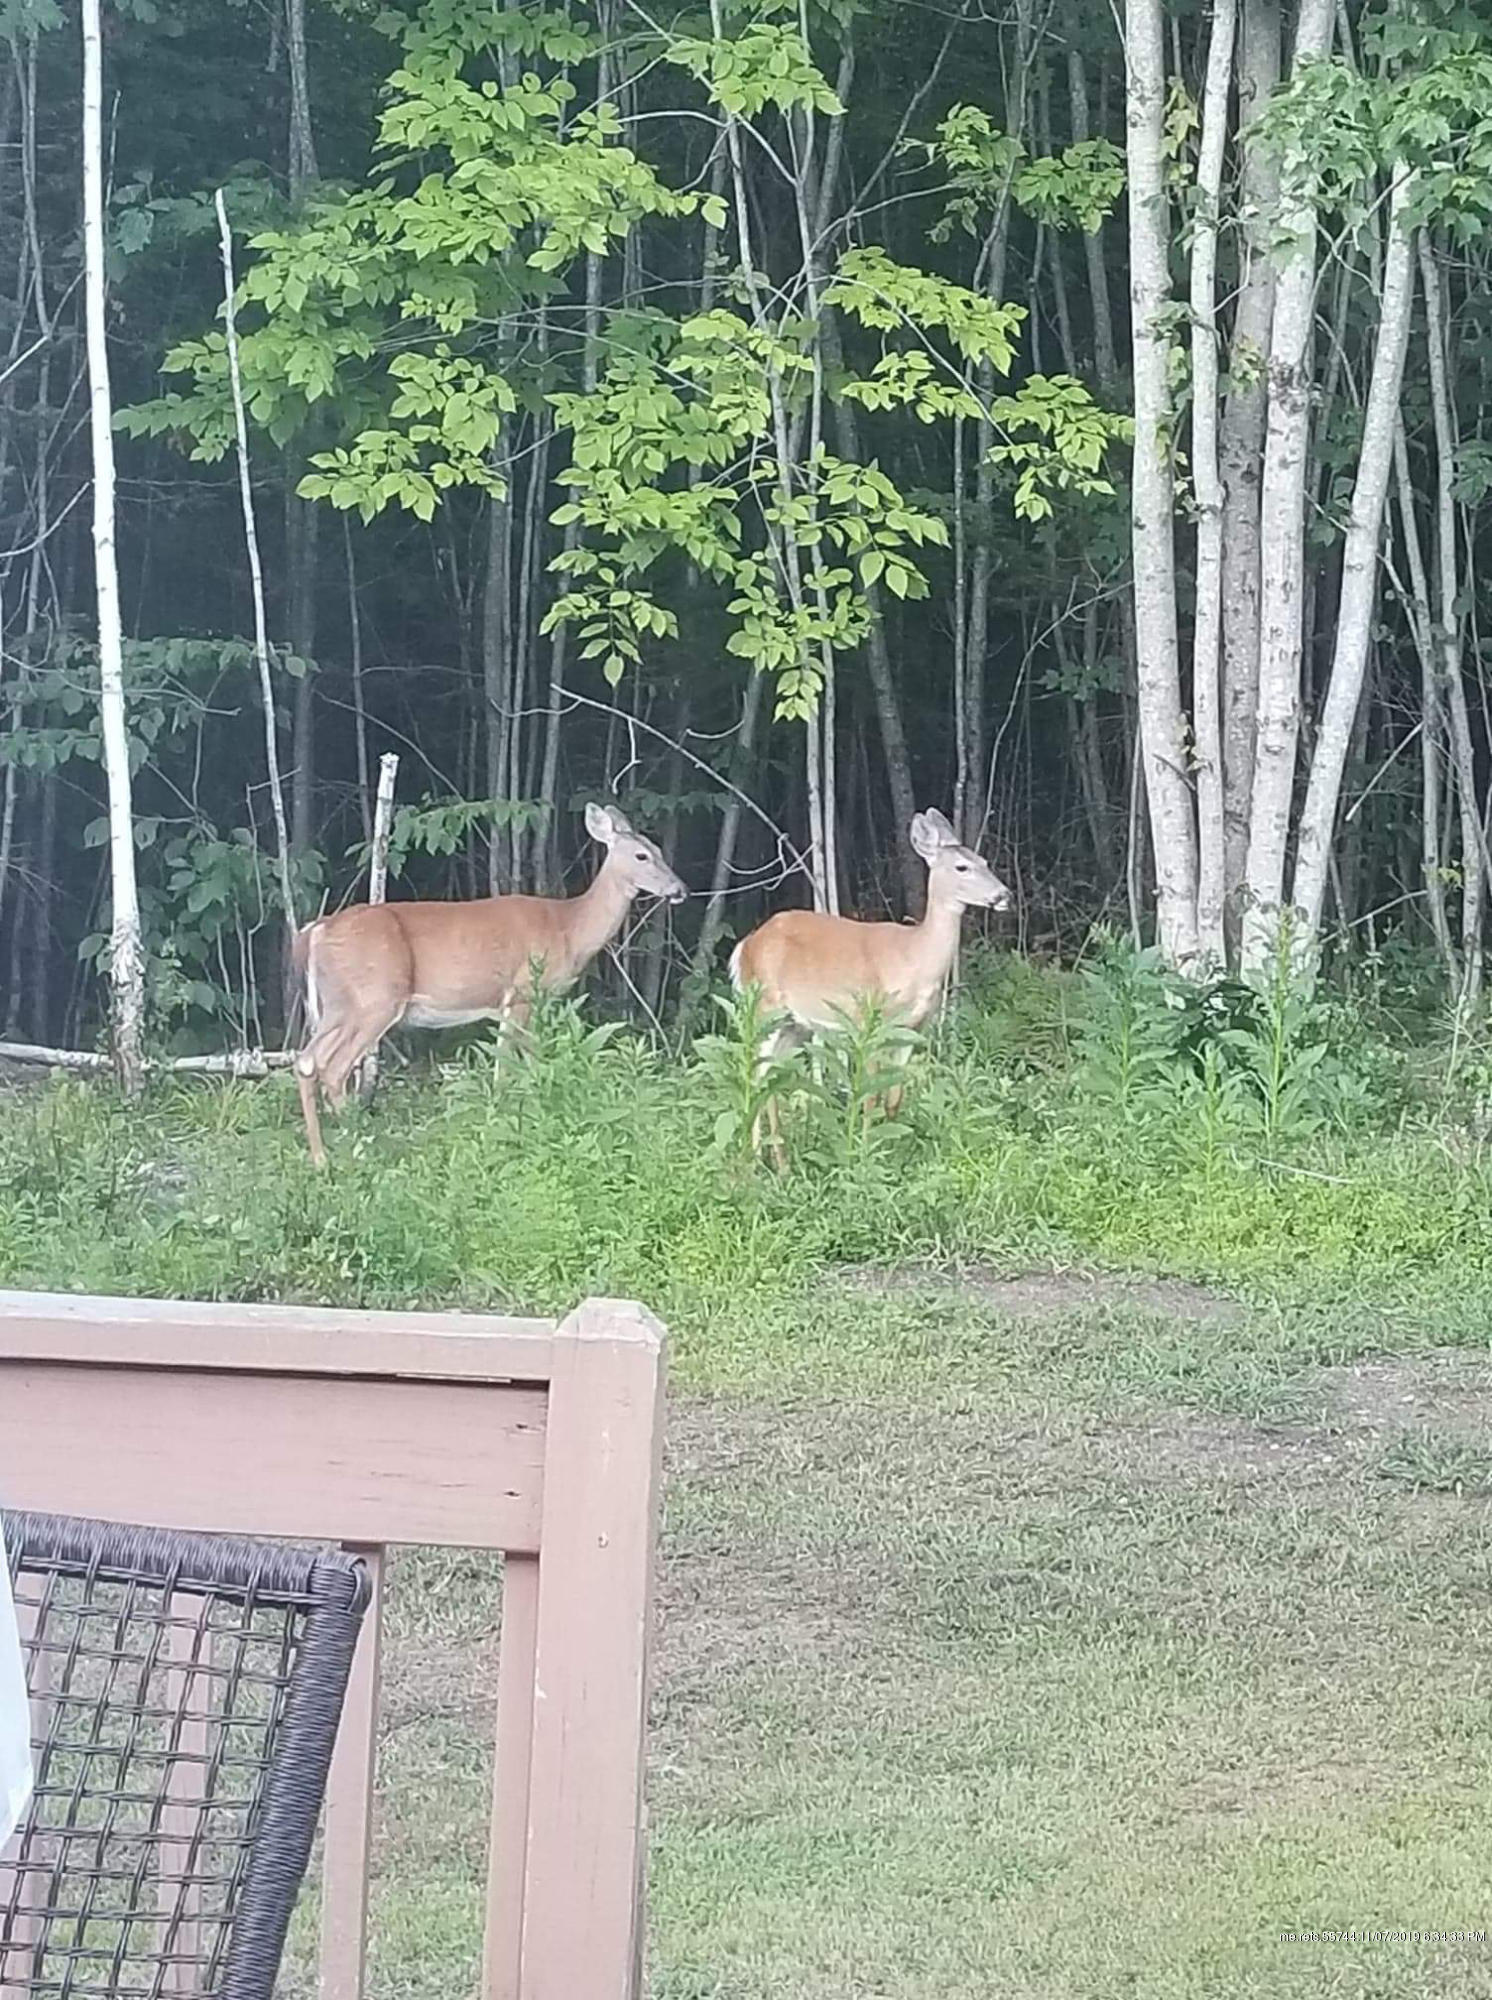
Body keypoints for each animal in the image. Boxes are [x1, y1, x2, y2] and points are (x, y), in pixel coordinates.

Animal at [292, 800, 684, 1168]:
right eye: (642, 855)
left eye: (661, 850)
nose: (679, 889)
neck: (569, 929)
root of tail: (315, 932)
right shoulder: (524, 990)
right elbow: (515, 1063)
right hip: (376, 998)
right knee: (332, 1067)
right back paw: (358, 1148)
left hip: (337, 1005)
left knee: (307, 1060)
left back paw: (321, 1158)